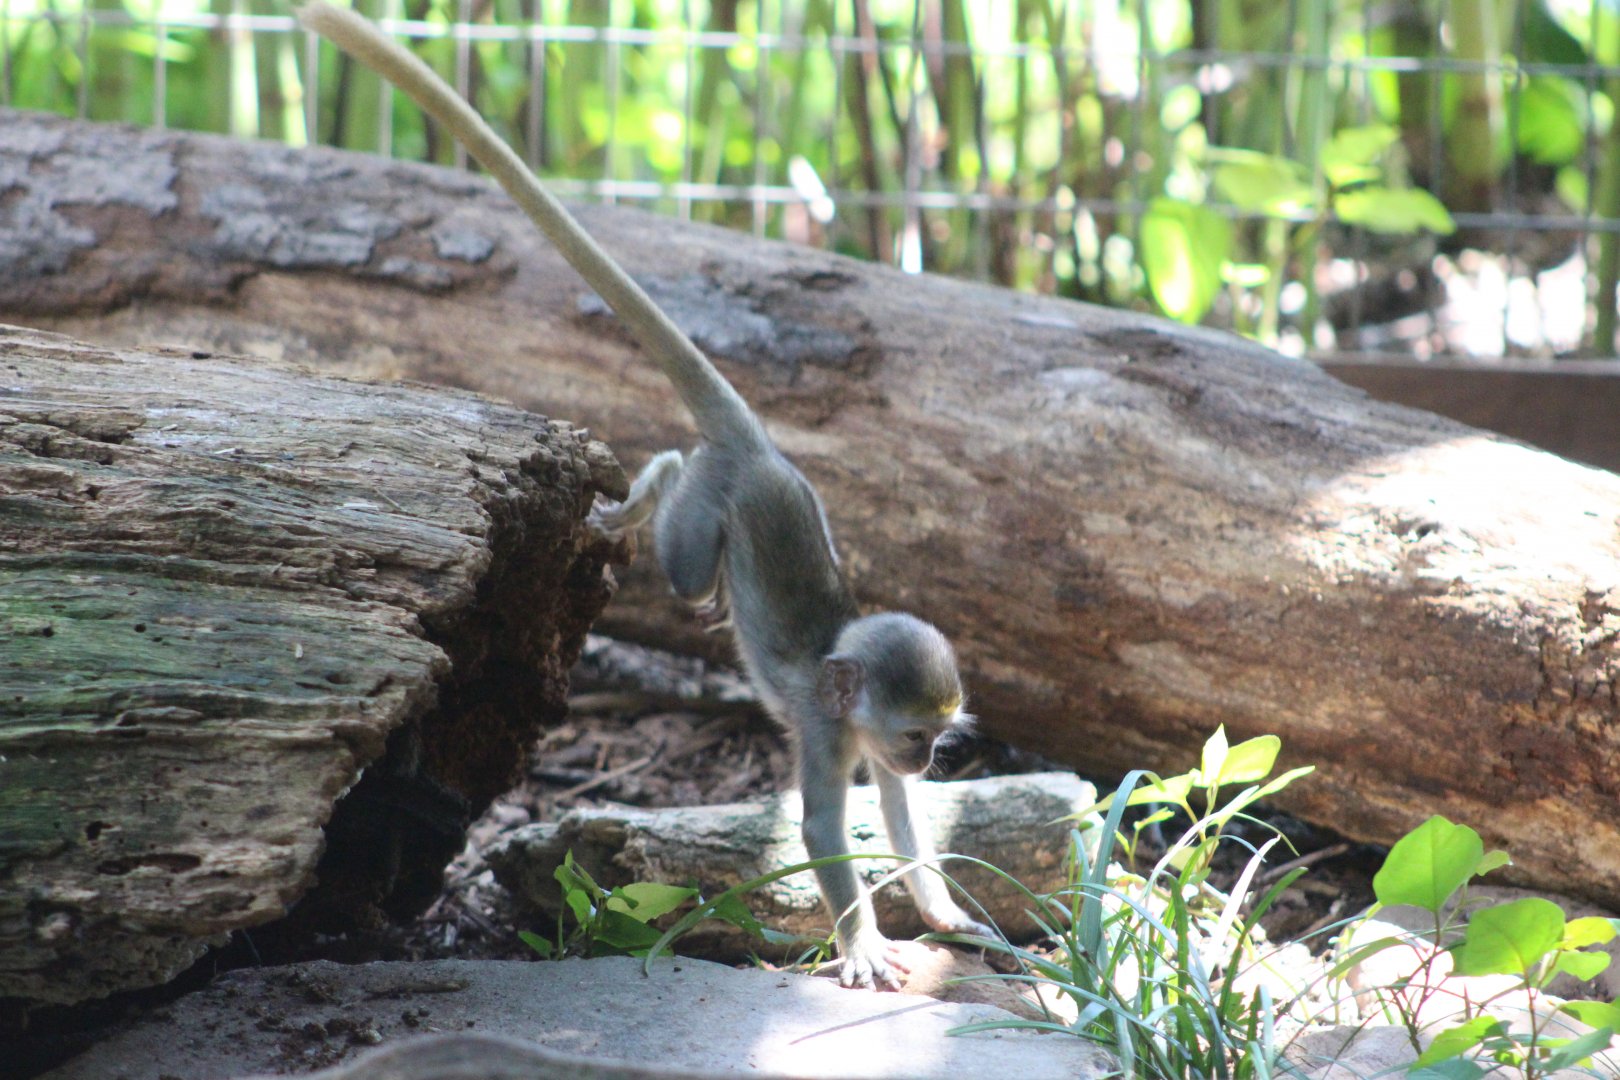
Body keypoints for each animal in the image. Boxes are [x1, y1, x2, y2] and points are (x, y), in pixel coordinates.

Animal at [297, 2, 994, 990]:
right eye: (917, 736)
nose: (931, 758)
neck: (849, 700)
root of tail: (758, 448)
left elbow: (900, 820)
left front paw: (938, 909)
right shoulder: (829, 734)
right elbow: (824, 829)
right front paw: (863, 945)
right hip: (710, 512)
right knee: (687, 554)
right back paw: (652, 482)